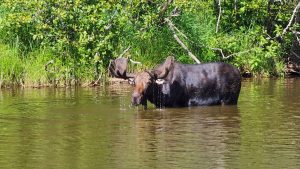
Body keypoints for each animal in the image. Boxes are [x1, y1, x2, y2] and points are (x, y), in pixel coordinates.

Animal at [108, 56, 241, 109]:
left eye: (149, 81)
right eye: (134, 82)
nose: (135, 98)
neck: (160, 93)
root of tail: (239, 73)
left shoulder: (176, 104)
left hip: (229, 100)